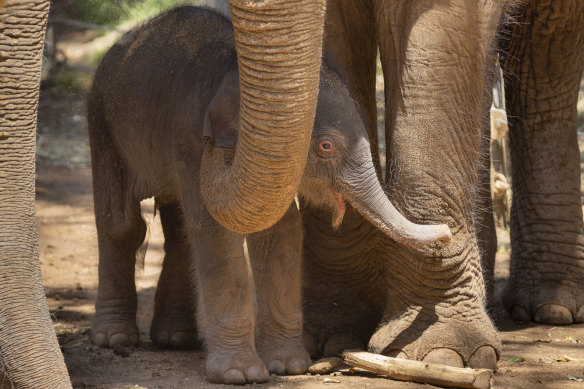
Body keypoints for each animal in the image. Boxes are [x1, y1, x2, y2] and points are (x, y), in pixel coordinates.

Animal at [88, 5, 452, 382]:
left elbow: (281, 232)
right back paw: (115, 338)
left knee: (177, 230)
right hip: (102, 125)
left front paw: (289, 366)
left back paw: (175, 339)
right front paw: (240, 375)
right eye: (325, 146)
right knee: (122, 224)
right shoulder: (188, 142)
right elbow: (217, 231)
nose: (446, 233)